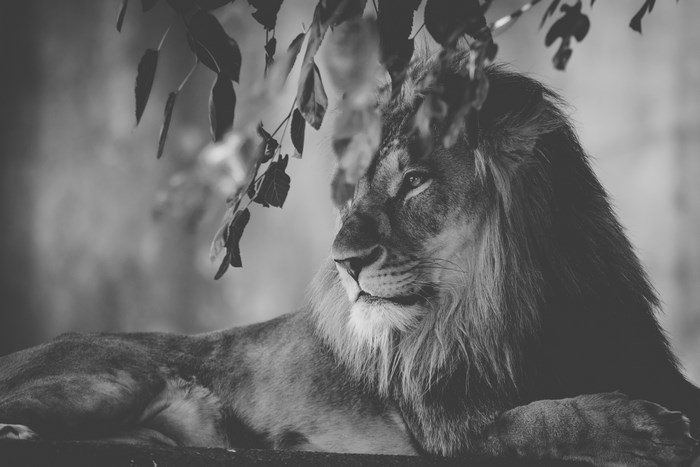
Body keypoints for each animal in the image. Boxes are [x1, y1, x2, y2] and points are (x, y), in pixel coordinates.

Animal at [1, 55, 698, 466]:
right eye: (352, 189)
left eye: (415, 181)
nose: (345, 262)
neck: (531, 310)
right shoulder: (449, 431)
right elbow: (539, 422)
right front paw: (641, 428)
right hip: (115, 374)